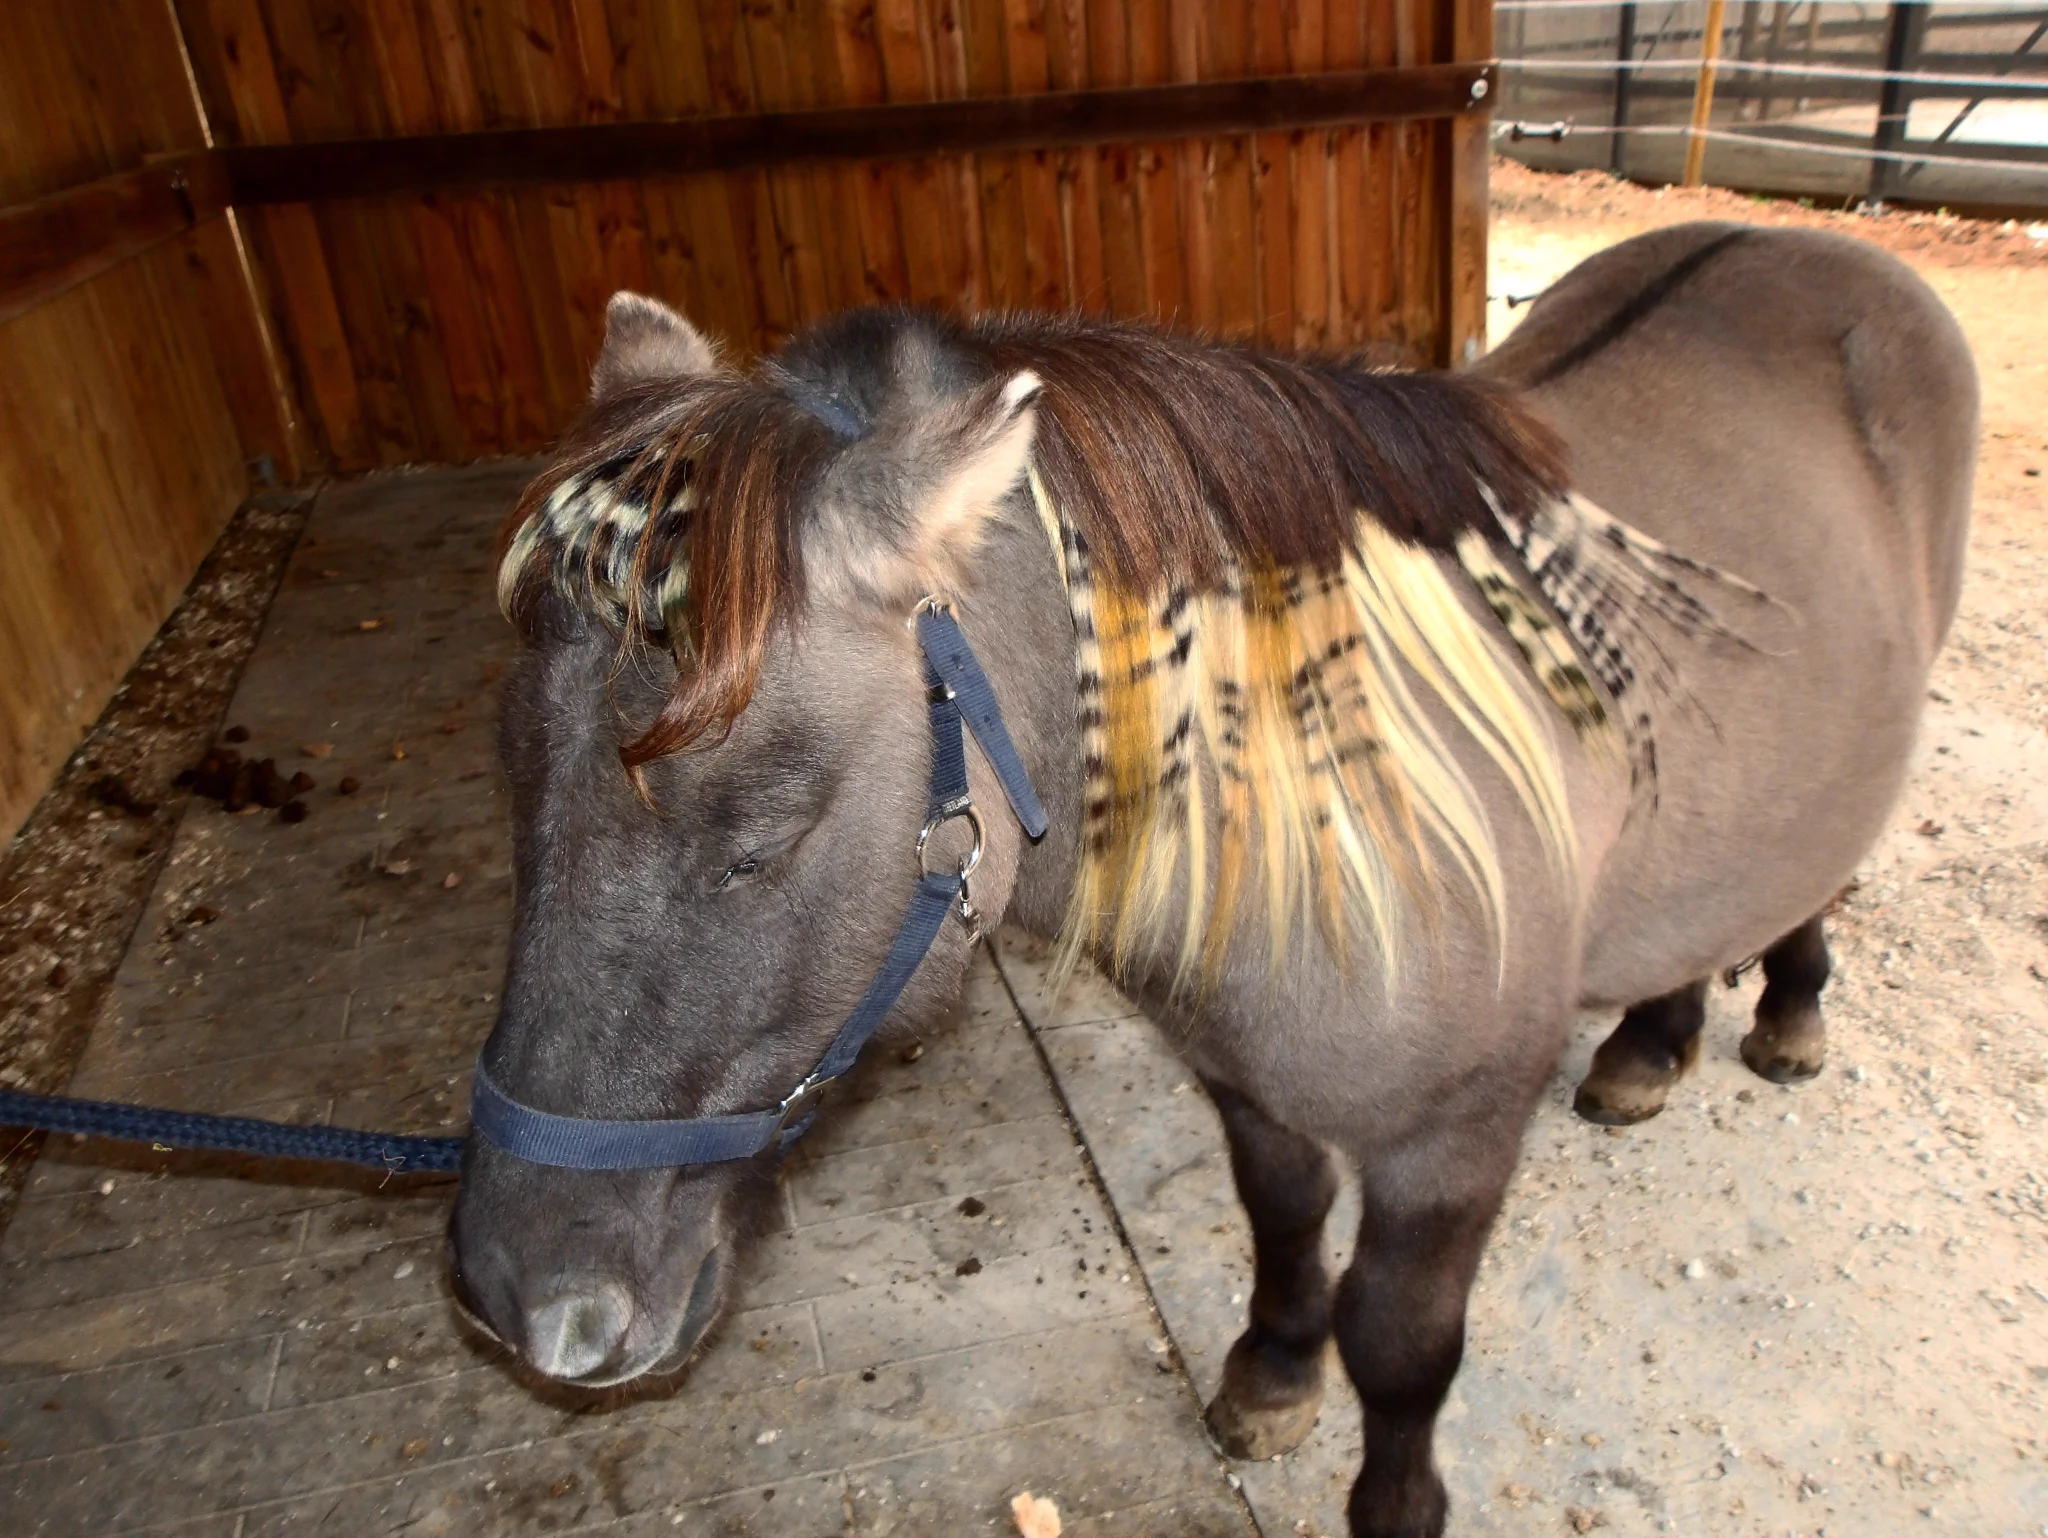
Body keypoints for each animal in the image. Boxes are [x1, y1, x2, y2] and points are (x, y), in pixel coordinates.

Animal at [447, 220, 1975, 1537]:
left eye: (760, 836)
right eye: (518, 786)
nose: (519, 1294)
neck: (1339, 801)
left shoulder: (1453, 1142)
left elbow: (1401, 1344)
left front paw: (1393, 1499)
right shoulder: (1249, 1087)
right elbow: (1286, 1228)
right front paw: (1270, 1379)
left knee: (1815, 879)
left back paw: (1788, 1010)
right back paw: (1653, 1041)